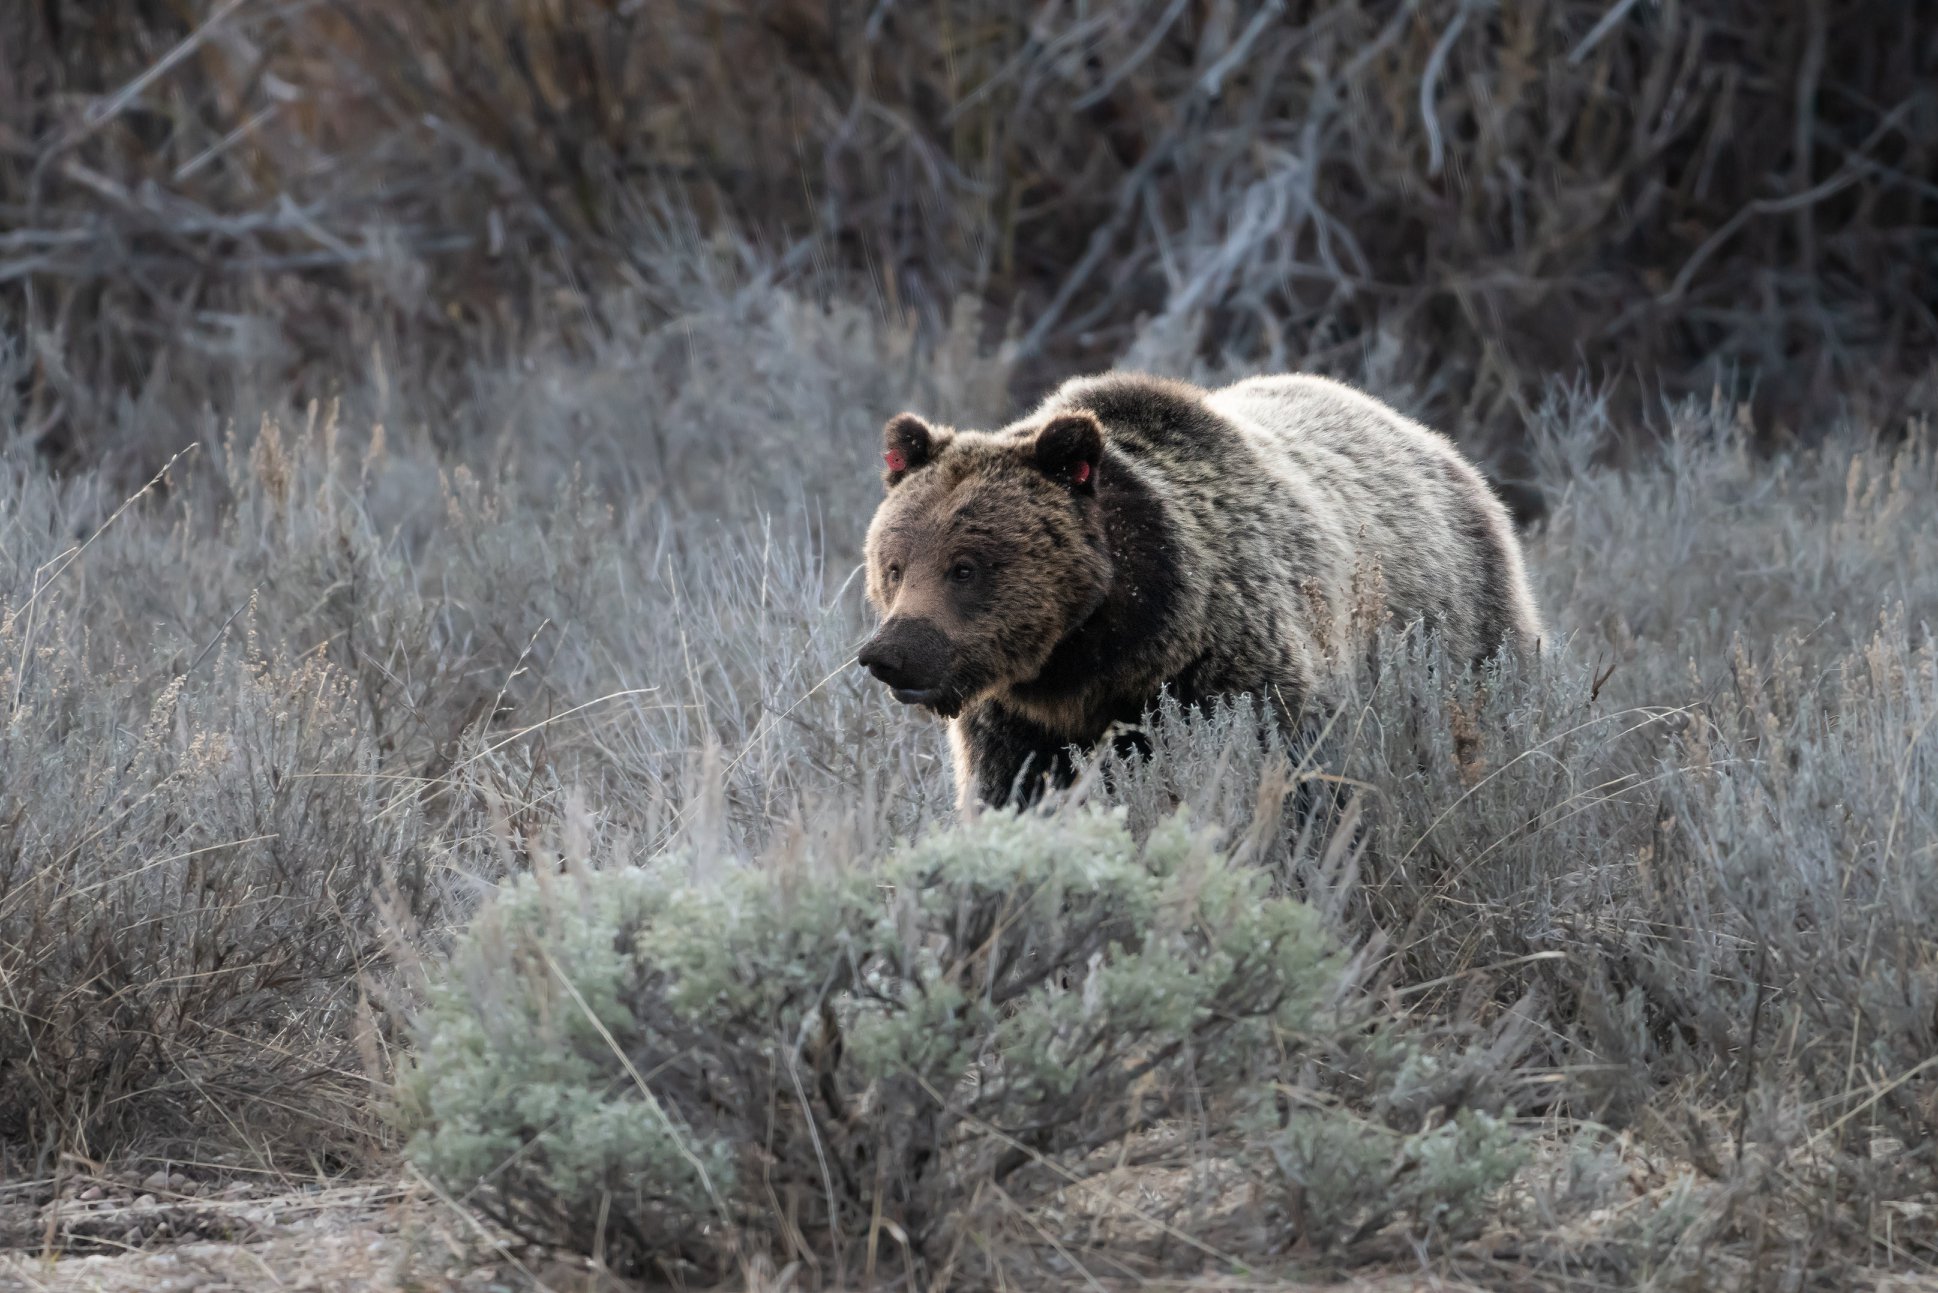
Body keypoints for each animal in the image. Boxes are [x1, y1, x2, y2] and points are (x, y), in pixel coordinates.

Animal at [864, 372, 1542, 810]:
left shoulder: (1233, 669)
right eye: (893, 565)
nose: (890, 653)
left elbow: (1286, 777)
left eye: (966, 567)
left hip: (1459, 621)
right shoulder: (1020, 723)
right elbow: (1016, 793)